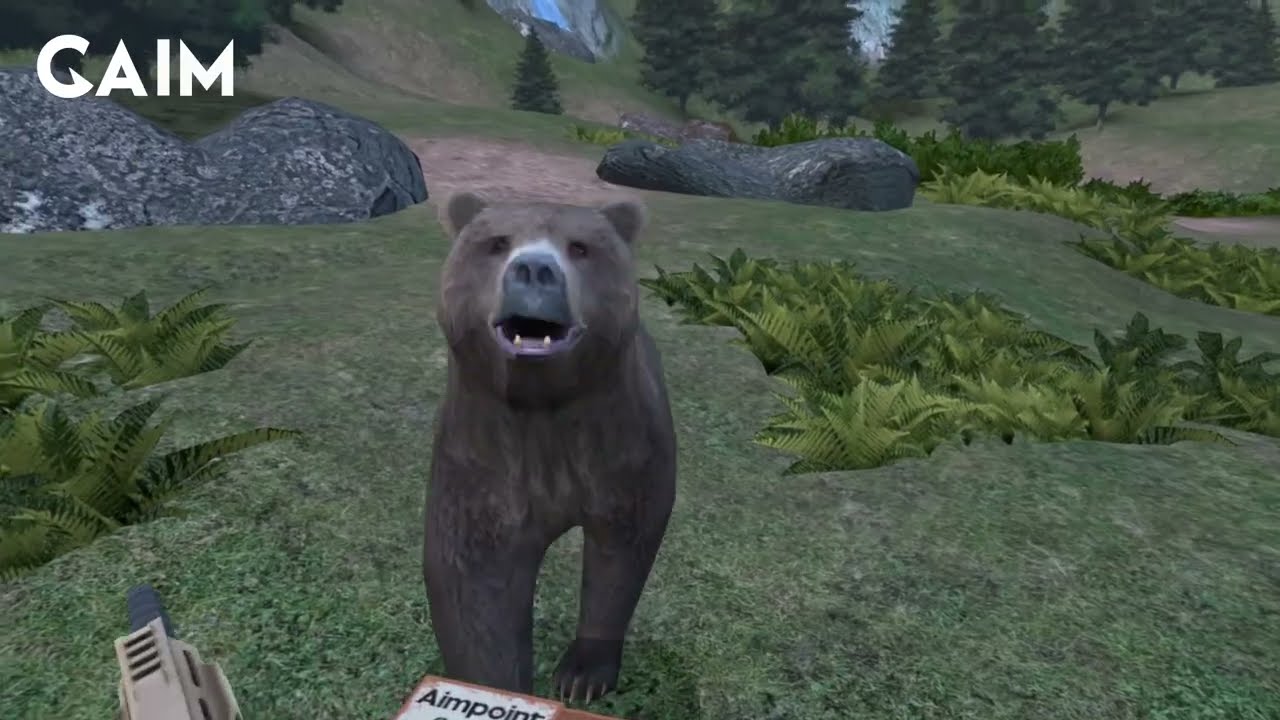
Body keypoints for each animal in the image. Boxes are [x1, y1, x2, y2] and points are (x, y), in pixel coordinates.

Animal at [423, 191, 678, 704]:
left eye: (580, 248)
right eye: (497, 242)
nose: (535, 270)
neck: (542, 405)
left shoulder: (620, 443)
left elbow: (621, 548)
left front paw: (582, 677)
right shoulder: (482, 455)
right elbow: (476, 582)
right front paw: (497, 689)